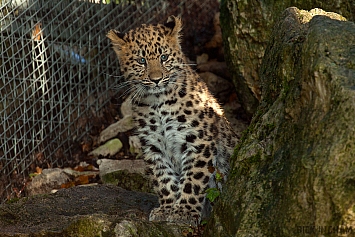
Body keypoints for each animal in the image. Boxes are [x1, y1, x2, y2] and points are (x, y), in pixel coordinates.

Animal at [107, 15, 238, 225]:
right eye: (141, 61)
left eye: (164, 57)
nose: (156, 79)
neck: (159, 102)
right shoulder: (153, 146)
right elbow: (163, 179)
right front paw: (167, 209)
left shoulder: (198, 141)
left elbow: (193, 179)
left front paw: (184, 212)